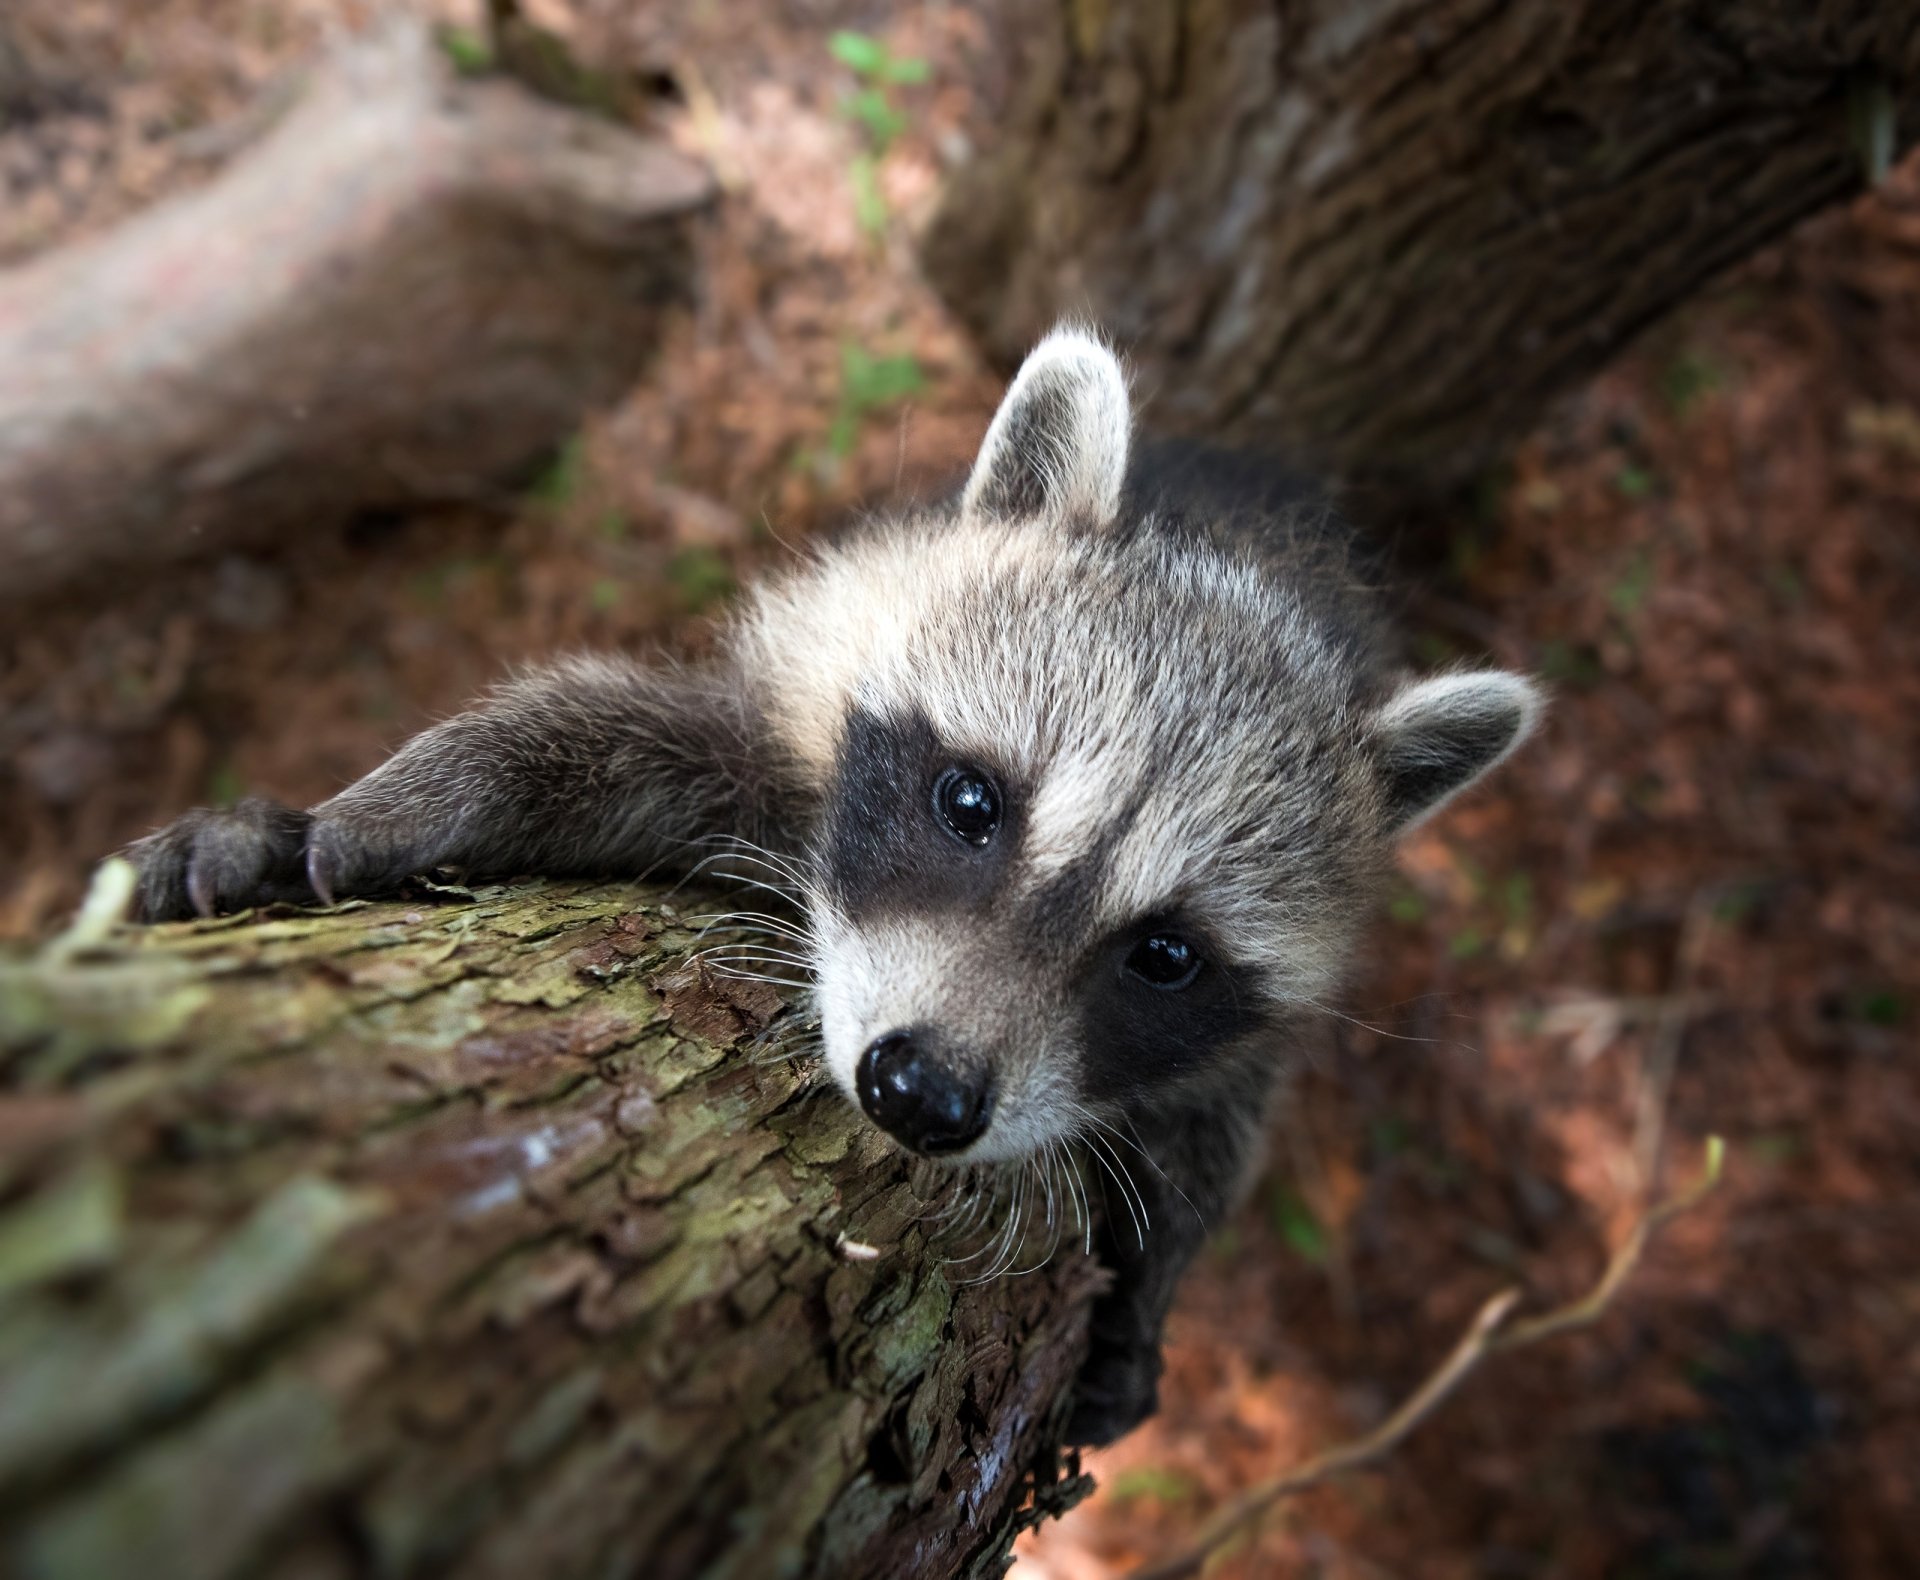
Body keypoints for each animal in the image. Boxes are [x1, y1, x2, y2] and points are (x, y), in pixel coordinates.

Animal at [126, 327, 1540, 1445]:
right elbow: (614, 734)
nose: (922, 1092)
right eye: (970, 803)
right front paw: (372, 804)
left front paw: (1157, 1278)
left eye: (1167, 954)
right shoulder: (814, 679)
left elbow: (1222, 1118)